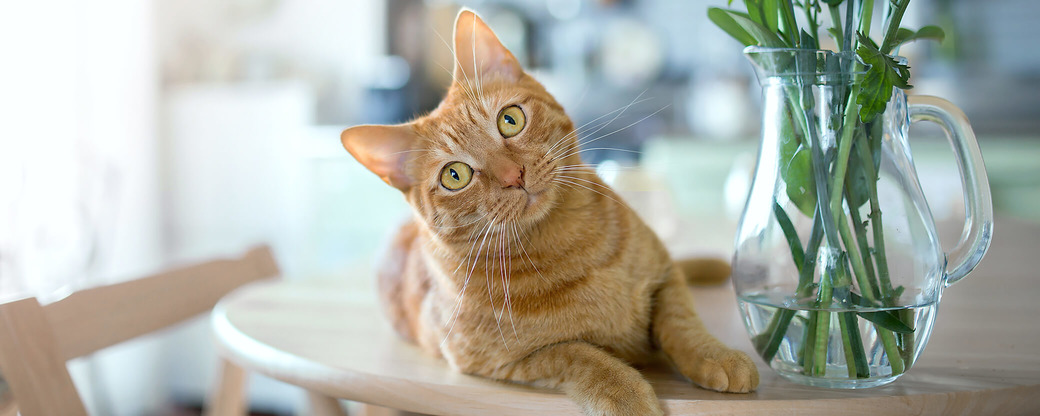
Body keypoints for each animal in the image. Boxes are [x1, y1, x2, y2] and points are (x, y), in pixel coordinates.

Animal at [341, 9, 757, 416]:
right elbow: (582, 355)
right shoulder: (503, 362)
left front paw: (717, 356)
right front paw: (626, 394)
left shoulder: (665, 276)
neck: (569, 245)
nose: (514, 176)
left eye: (510, 120)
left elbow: (682, 323)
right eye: (454, 175)